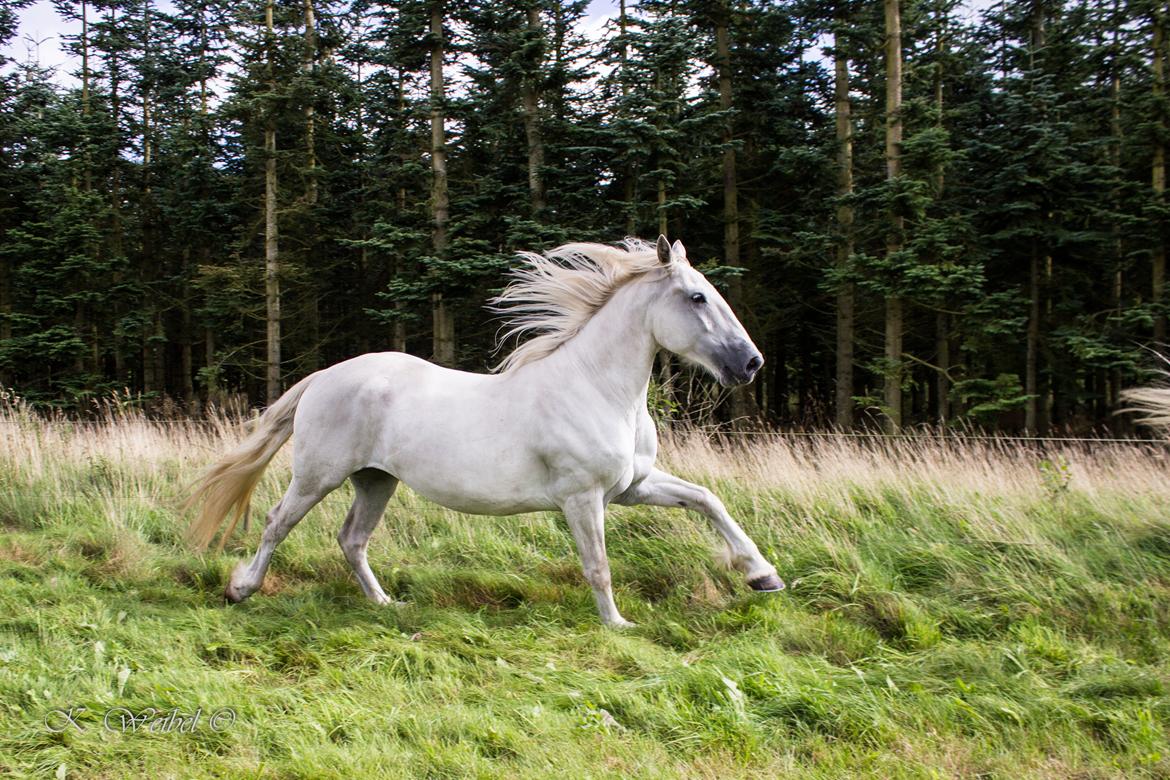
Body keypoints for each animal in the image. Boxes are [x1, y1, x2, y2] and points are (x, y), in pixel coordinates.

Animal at [187, 238, 781, 626]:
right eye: (697, 297)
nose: (751, 363)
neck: (599, 389)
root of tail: (324, 376)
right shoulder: (583, 496)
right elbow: (598, 565)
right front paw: (618, 626)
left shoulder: (632, 487)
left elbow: (707, 500)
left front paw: (763, 576)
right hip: (318, 476)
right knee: (276, 523)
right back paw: (241, 589)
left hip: (376, 479)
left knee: (352, 539)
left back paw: (385, 604)